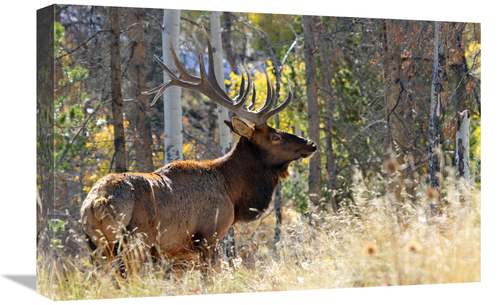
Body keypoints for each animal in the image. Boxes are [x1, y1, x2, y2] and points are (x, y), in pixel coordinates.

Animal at [81, 25, 316, 278]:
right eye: (275, 137)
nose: (311, 144)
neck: (232, 191)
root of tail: (97, 203)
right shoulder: (209, 235)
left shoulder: (178, 253)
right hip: (135, 241)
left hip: (95, 246)